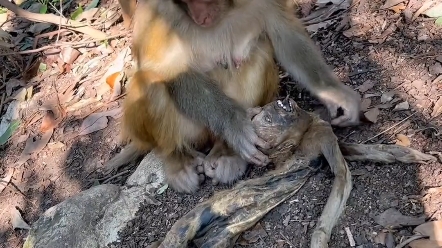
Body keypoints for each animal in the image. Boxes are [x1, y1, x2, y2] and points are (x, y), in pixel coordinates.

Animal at [105, 0, 360, 194]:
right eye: (185, 2)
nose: (200, 17)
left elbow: (283, 31)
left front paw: (333, 92)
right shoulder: (160, 11)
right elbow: (169, 68)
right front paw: (234, 125)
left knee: (255, 52)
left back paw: (227, 152)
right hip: (193, 131)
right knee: (151, 81)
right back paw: (178, 158)